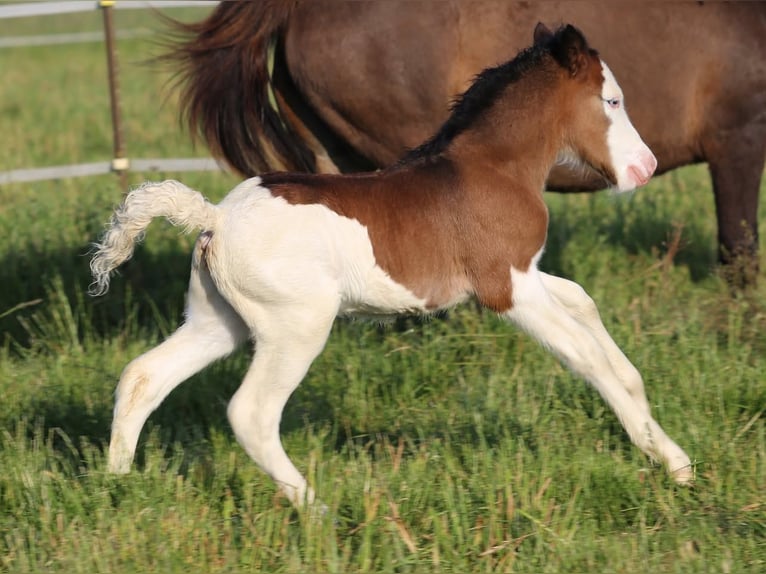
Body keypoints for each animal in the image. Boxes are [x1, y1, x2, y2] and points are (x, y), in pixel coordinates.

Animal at [92, 25, 692, 509]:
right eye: (612, 100)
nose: (646, 168)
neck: (494, 167)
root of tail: (214, 217)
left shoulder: (525, 273)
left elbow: (587, 308)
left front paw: (665, 445)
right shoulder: (506, 289)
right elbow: (587, 358)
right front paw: (670, 459)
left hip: (218, 321)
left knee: (144, 376)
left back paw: (118, 484)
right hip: (295, 327)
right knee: (251, 413)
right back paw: (314, 507)